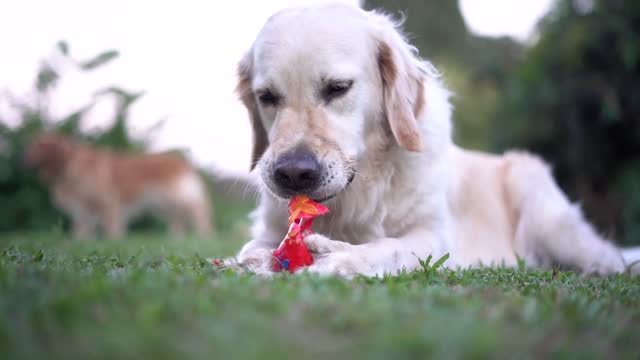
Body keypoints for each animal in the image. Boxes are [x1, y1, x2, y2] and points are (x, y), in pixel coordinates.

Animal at [23, 132, 212, 239]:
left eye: (38, 147)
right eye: (29, 147)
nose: (22, 159)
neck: (70, 165)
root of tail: (182, 161)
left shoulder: (108, 202)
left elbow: (110, 227)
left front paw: (114, 241)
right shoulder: (85, 206)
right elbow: (82, 228)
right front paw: (79, 242)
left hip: (176, 196)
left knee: (199, 211)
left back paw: (204, 236)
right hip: (161, 204)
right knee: (178, 218)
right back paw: (176, 238)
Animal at [232, 2, 636, 278]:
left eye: (338, 88)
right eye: (267, 96)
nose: (293, 174)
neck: (357, 194)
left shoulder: (434, 237)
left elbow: (389, 247)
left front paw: (341, 256)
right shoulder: (271, 229)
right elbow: (250, 249)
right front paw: (256, 261)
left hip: (545, 209)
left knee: (609, 260)